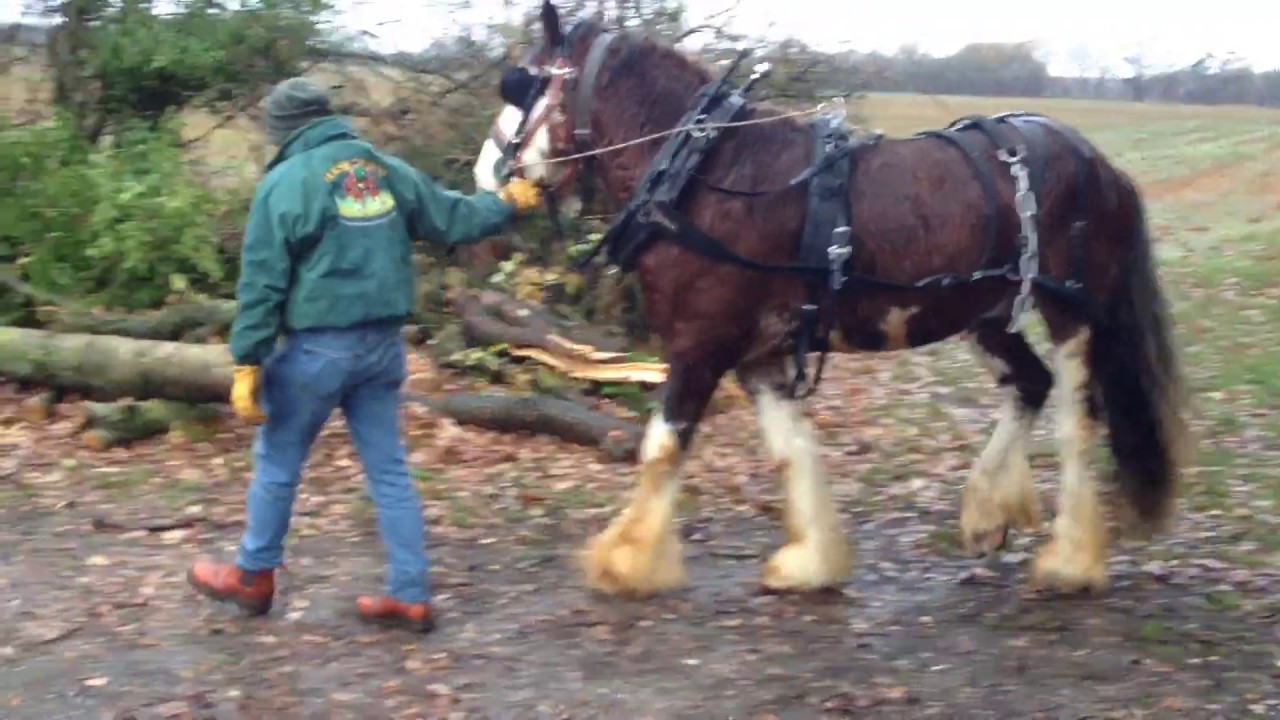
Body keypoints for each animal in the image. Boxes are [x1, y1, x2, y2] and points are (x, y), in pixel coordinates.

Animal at [473, 1, 1189, 600]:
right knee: (1029, 384)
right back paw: (988, 511)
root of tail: (1097, 163)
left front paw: (624, 561)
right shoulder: (756, 353)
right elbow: (790, 450)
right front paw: (812, 560)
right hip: (981, 314)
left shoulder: (702, 344)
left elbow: (662, 449)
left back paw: (1071, 559)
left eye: (522, 84)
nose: (485, 171)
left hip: (1071, 314)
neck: (706, 173)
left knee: (1077, 415)